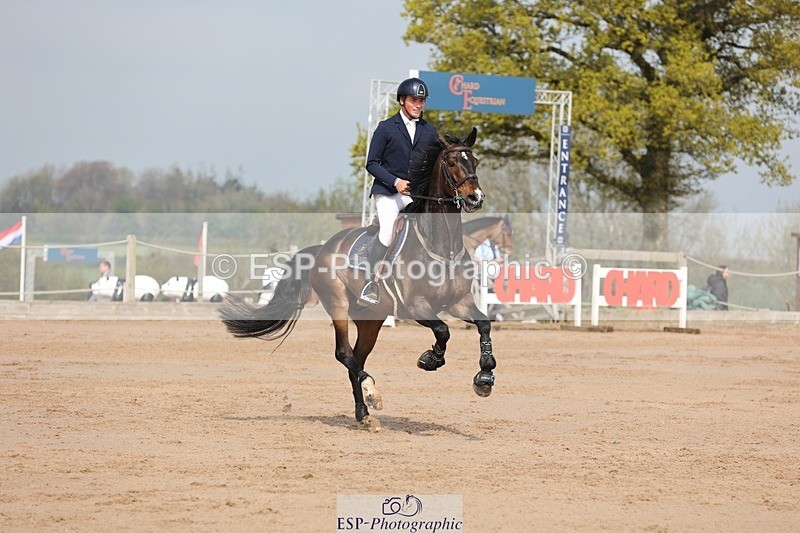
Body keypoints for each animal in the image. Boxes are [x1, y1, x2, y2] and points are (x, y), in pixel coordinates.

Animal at [220, 127, 496, 427]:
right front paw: (430, 359)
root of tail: (322, 249)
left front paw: (485, 376)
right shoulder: (416, 306)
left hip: (371, 319)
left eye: (475, 161)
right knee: (344, 353)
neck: (442, 246)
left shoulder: (459, 302)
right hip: (338, 304)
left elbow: (484, 323)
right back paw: (372, 392)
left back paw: (363, 413)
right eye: (453, 162)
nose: (476, 198)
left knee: (357, 357)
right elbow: (443, 330)